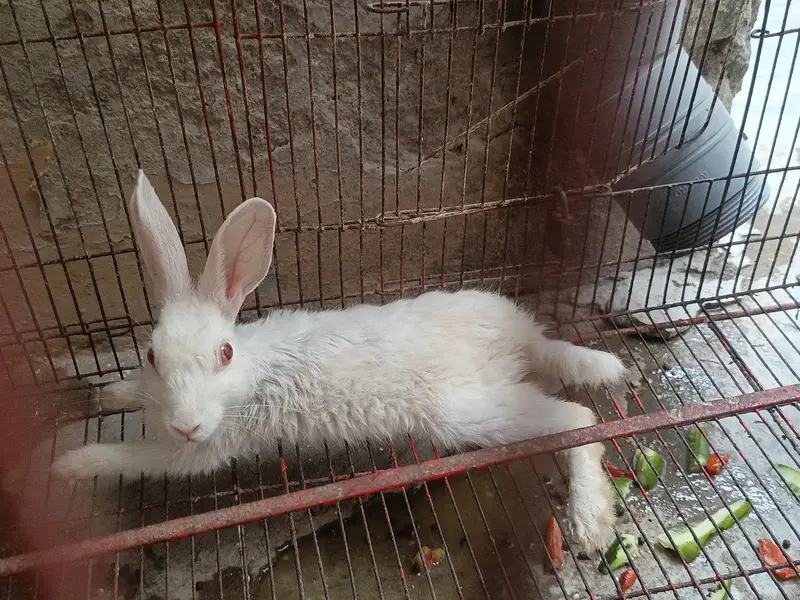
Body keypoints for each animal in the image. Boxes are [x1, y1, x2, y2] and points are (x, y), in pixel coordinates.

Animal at [51, 170, 628, 551]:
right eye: (152, 355)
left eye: (224, 353)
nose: (187, 424)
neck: (252, 374)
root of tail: (522, 338)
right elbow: (129, 395)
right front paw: (110, 393)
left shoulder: (199, 452)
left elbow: (137, 458)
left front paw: (71, 465)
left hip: (470, 413)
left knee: (579, 419)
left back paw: (589, 524)